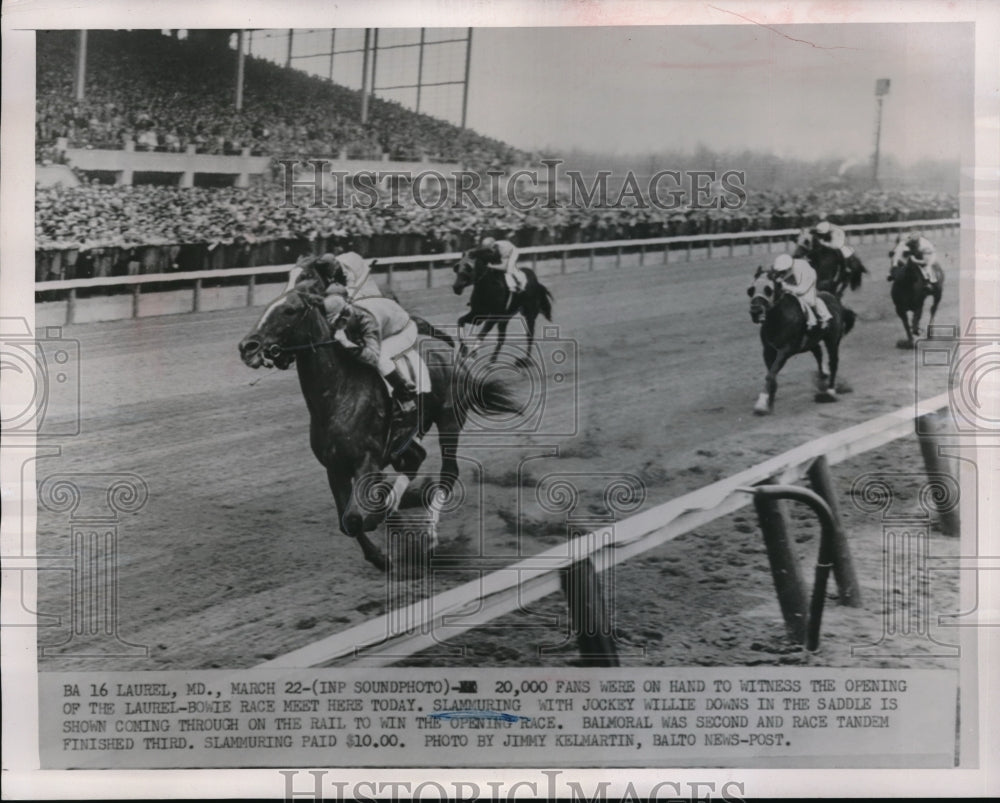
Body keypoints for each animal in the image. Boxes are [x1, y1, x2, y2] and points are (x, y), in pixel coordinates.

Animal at [238, 266, 520, 576]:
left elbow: (354, 517)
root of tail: (451, 354)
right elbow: (346, 521)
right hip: (405, 438)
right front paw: (380, 556)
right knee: (415, 458)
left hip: (449, 420)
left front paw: (381, 525)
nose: (247, 346)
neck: (337, 396)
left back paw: (429, 535)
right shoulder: (334, 467)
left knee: (449, 471)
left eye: (289, 310)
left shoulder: (367, 460)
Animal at [748, 266, 856, 414]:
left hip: (832, 340)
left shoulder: (785, 350)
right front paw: (768, 401)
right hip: (811, 342)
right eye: (751, 290)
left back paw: (830, 391)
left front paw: (762, 404)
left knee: (833, 362)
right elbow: (771, 375)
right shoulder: (768, 350)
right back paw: (823, 377)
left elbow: (770, 375)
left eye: (768, 289)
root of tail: (837, 301)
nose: (755, 311)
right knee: (818, 353)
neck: (777, 318)